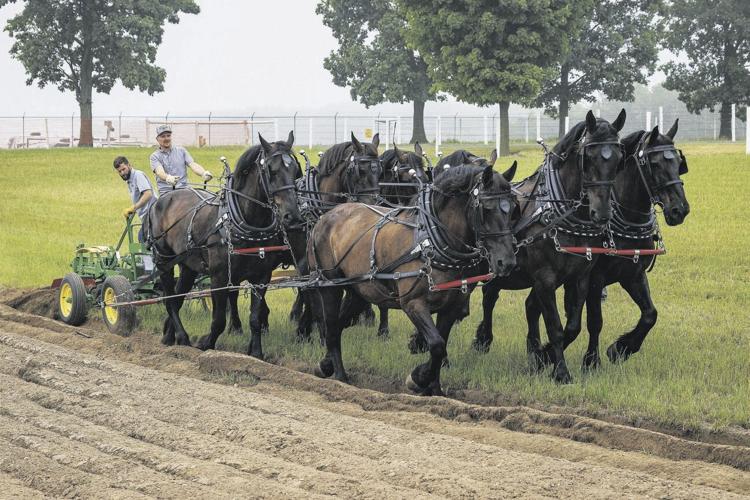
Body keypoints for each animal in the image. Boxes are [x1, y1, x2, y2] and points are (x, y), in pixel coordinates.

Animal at [148, 130, 304, 356]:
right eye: (271, 171)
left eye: (295, 170)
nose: (292, 216)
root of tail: (163, 199)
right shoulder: (220, 277)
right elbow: (219, 319)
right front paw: (205, 344)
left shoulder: (262, 277)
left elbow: (255, 319)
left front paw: (256, 353)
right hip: (164, 261)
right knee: (169, 299)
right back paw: (182, 337)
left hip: (188, 266)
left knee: (177, 298)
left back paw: (169, 336)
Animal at [308, 163, 520, 394]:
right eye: (486, 209)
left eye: (513, 209)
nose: (507, 262)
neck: (430, 243)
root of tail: (325, 217)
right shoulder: (413, 303)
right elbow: (436, 345)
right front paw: (418, 378)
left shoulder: (451, 307)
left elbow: (441, 344)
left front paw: (434, 389)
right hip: (330, 285)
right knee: (330, 327)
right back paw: (340, 377)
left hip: (359, 291)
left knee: (338, 325)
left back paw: (325, 364)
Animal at [528, 119, 692, 370]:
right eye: (654, 164)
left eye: (678, 162)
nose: (680, 209)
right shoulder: (595, 278)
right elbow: (594, 321)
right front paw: (590, 361)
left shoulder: (633, 274)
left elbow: (650, 314)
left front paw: (621, 348)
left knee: (532, 306)